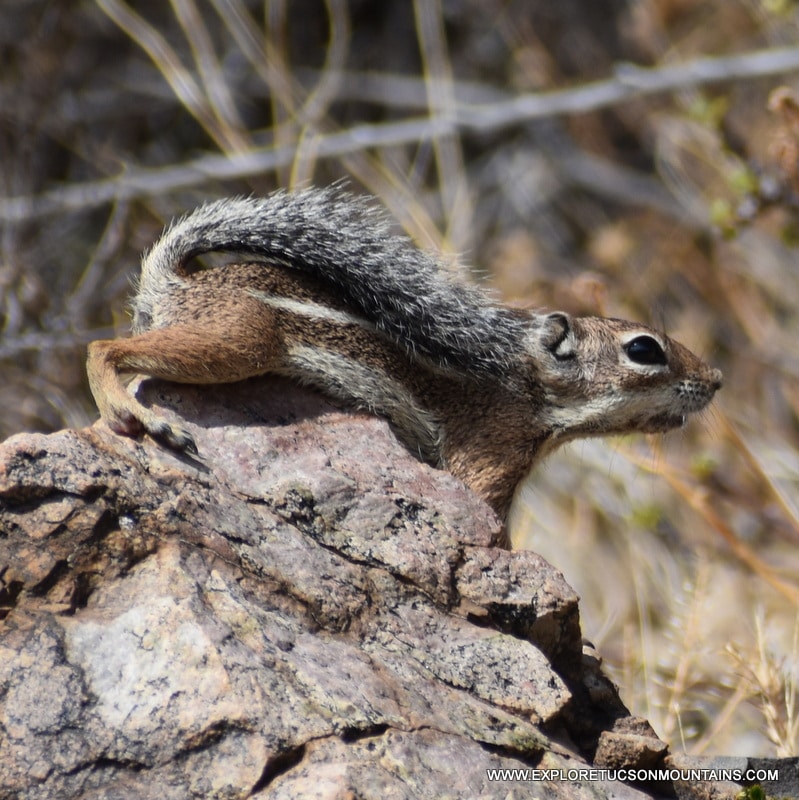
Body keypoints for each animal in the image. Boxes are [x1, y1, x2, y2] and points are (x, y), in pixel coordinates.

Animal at [87, 188, 724, 520]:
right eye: (644, 349)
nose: (717, 378)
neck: (531, 392)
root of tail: (177, 280)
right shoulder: (487, 459)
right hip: (237, 339)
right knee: (103, 347)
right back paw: (134, 414)